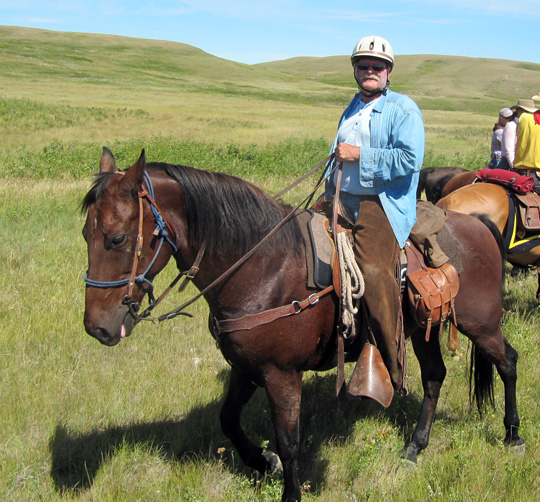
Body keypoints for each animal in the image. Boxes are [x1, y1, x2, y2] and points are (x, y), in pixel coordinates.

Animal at [81, 149, 524, 502]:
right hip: (421, 331)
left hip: (482, 324)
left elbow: (290, 442)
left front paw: (288, 489)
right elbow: (229, 420)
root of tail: (480, 224)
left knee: (508, 362)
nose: (97, 327)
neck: (262, 266)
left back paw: (513, 436)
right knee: (435, 377)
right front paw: (263, 463)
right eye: (85, 233)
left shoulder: (281, 374)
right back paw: (414, 449)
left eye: (118, 239)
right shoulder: (247, 367)